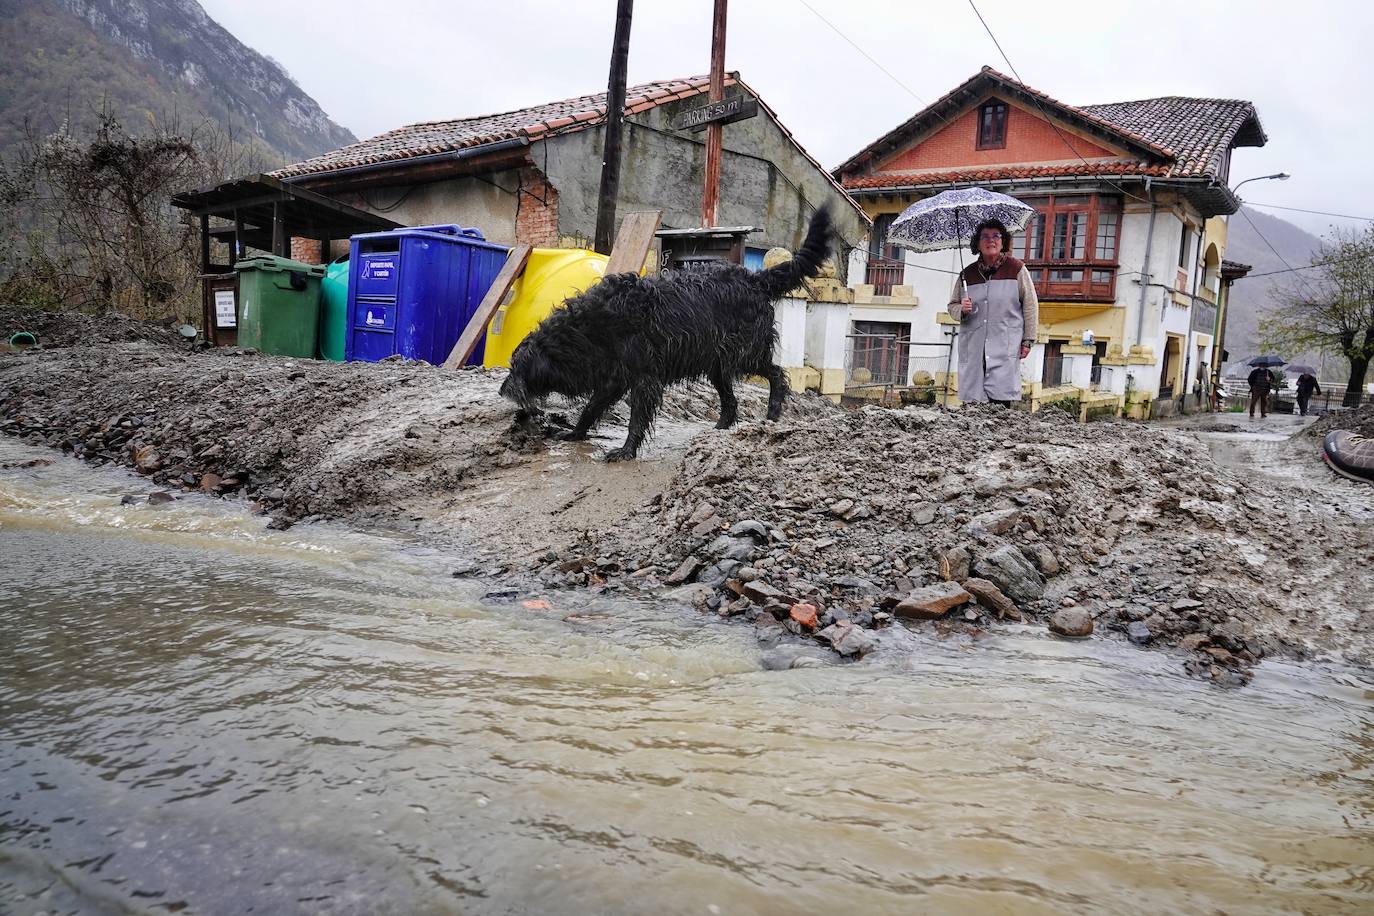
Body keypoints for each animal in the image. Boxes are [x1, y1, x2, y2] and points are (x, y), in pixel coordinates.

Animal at [500, 210, 829, 466]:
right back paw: (720, 427)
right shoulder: (613, 377)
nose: (502, 391)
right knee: (731, 399)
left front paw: (626, 450)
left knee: (776, 373)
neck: (588, 328)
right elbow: (591, 408)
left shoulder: (643, 377)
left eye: (516, 367)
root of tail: (754, 279)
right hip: (717, 361)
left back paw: (773, 412)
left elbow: (635, 418)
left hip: (745, 352)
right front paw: (575, 433)